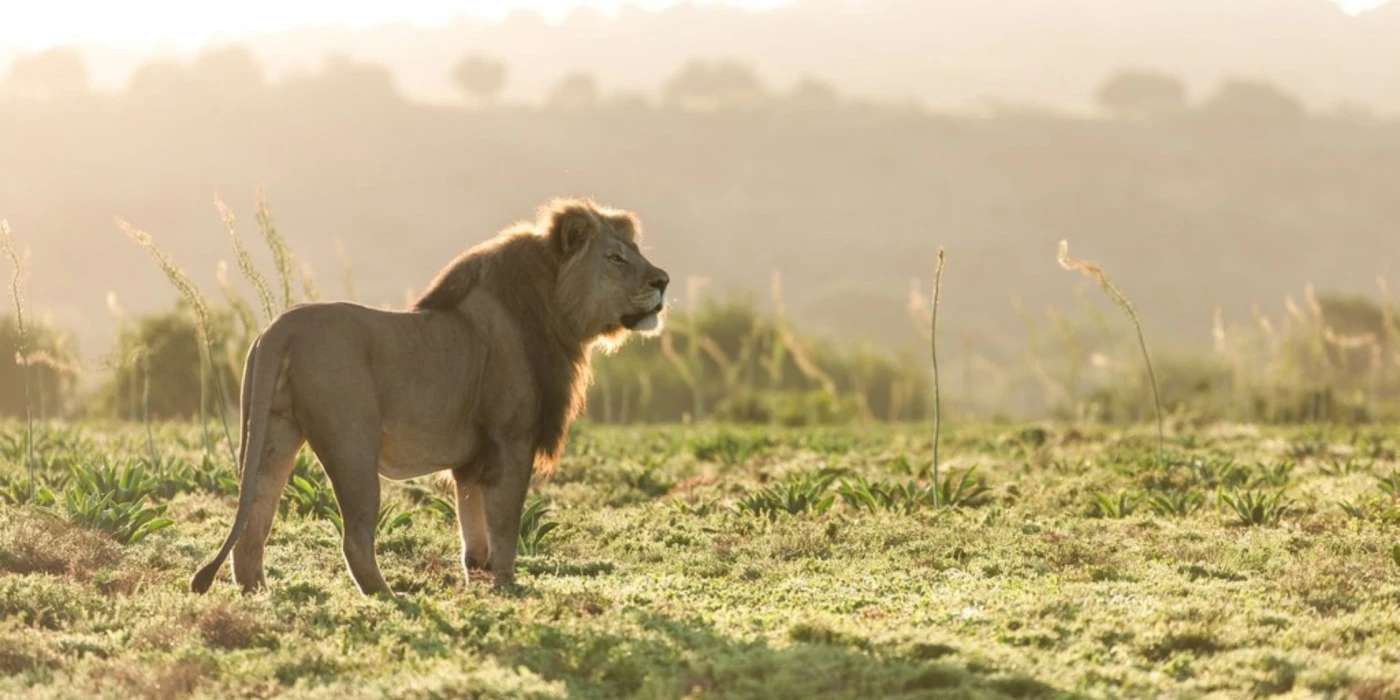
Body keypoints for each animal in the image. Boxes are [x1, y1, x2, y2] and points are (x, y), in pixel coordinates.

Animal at [190, 197, 666, 596]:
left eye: (635, 251)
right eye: (616, 257)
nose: (663, 280)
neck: (552, 314)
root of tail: (279, 328)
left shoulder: (472, 462)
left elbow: (473, 533)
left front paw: (479, 583)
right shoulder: (510, 442)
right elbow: (505, 525)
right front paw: (507, 586)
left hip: (273, 430)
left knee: (254, 520)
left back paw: (258, 593)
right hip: (352, 444)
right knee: (354, 538)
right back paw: (389, 597)